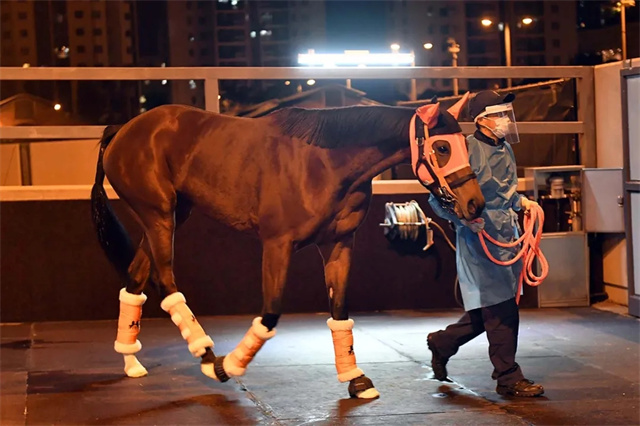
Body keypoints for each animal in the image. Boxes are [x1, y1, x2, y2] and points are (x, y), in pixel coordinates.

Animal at [89, 92, 480, 400]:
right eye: (442, 147)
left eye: (466, 144)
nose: (474, 204)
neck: (325, 163)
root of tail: (122, 130)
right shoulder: (277, 244)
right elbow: (271, 312)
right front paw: (230, 365)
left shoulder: (338, 244)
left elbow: (339, 311)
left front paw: (355, 379)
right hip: (159, 216)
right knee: (166, 281)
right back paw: (208, 357)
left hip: (168, 215)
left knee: (136, 278)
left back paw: (132, 361)